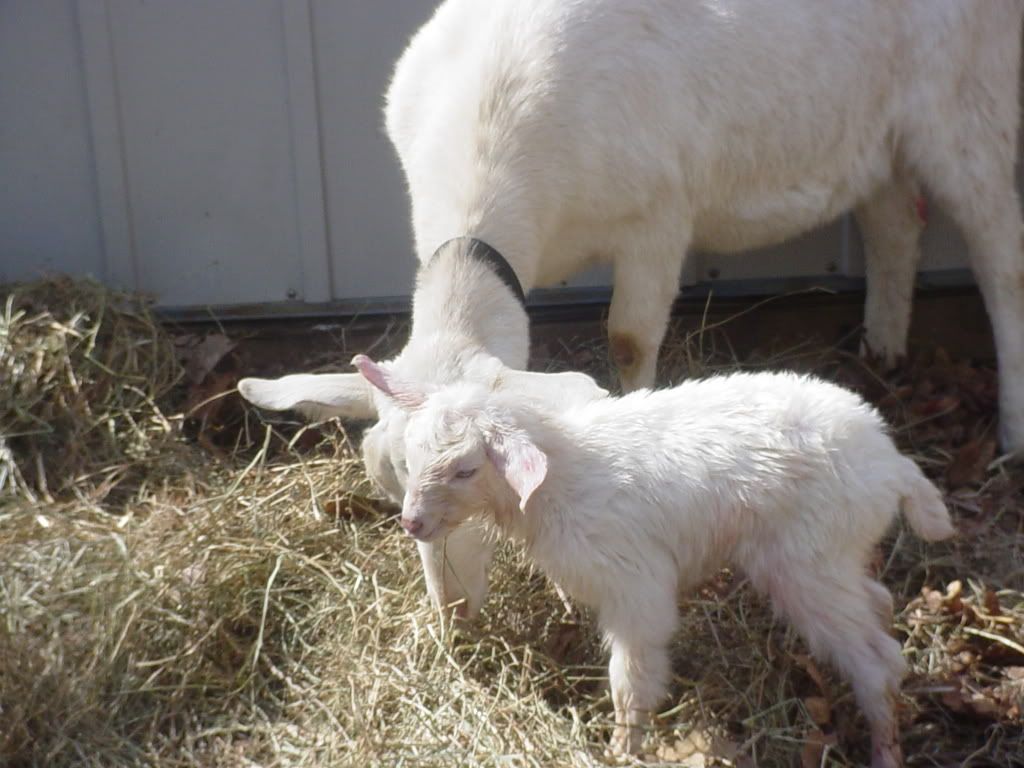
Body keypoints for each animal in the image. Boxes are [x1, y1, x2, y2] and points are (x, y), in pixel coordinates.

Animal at [239, 0, 1021, 620]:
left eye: (472, 474)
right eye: (386, 481)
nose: (452, 608)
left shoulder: (658, 218)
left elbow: (628, 340)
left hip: (969, 107)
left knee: (1001, 258)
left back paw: (1011, 430)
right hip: (877, 138)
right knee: (895, 225)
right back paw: (882, 351)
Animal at [352, 353, 954, 768]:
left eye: (466, 470)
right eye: (412, 458)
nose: (412, 523)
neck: (559, 480)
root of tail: (893, 462)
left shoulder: (635, 589)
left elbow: (632, 679)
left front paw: (623, 747)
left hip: (809, 562)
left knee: (879, 662)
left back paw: (884, 749)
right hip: (835, 555)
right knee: (877, 603)